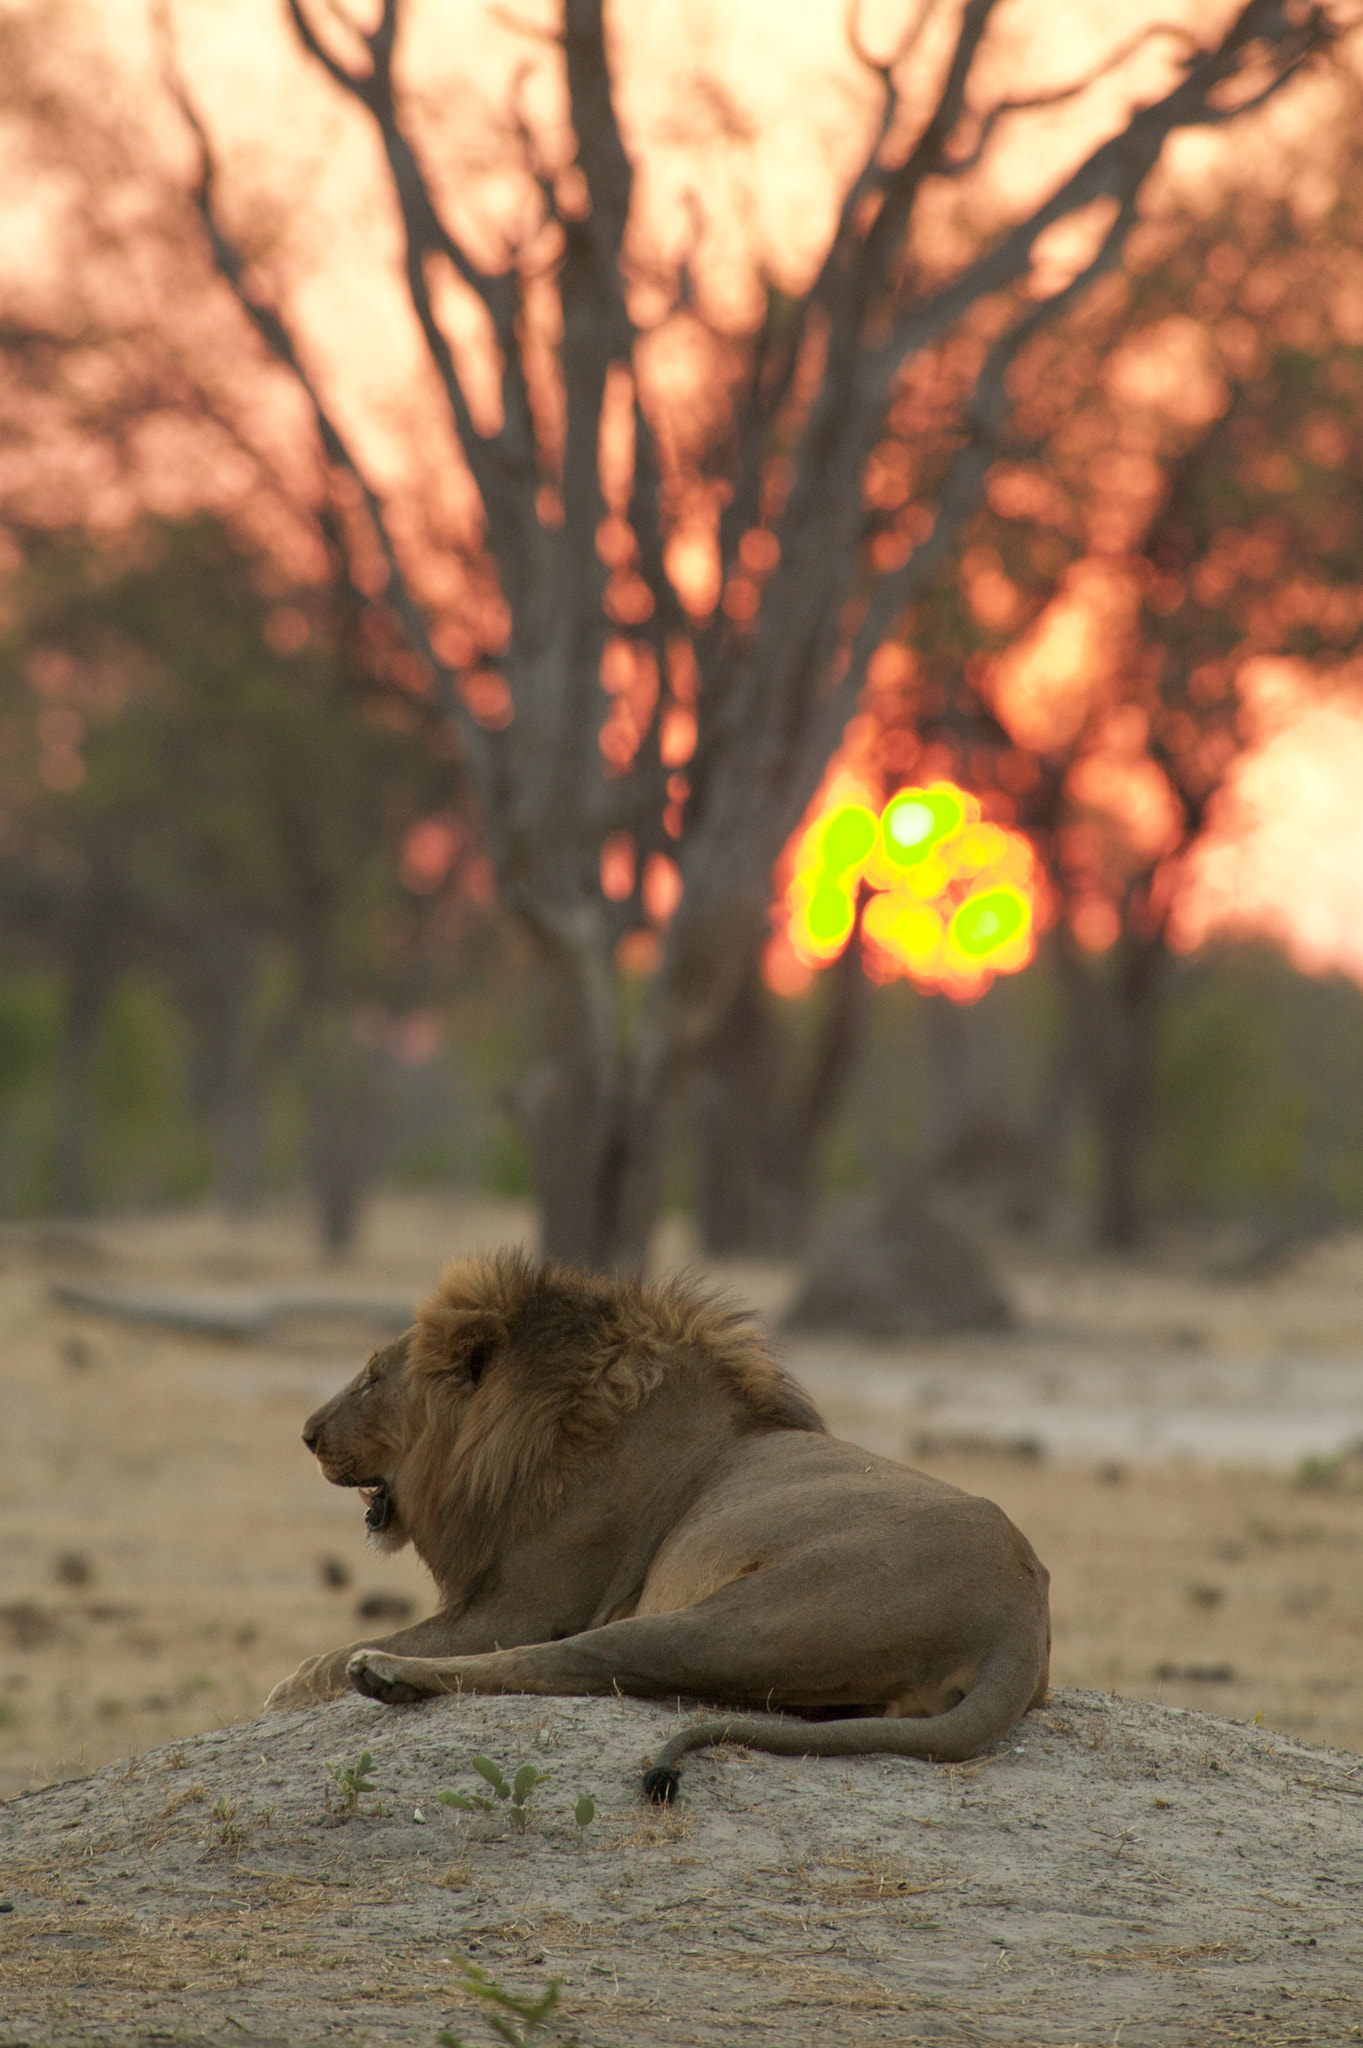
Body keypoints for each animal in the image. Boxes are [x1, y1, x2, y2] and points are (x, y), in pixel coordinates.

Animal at [268, 1245, 1047, 1794]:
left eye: (371, 1379)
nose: (306, 1434)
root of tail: (1018, 1616)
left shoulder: (519, 1607)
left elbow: (349, 1649)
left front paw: (297, 1682)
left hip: (741, 1617)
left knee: (567, 1664)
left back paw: (387, 1674)